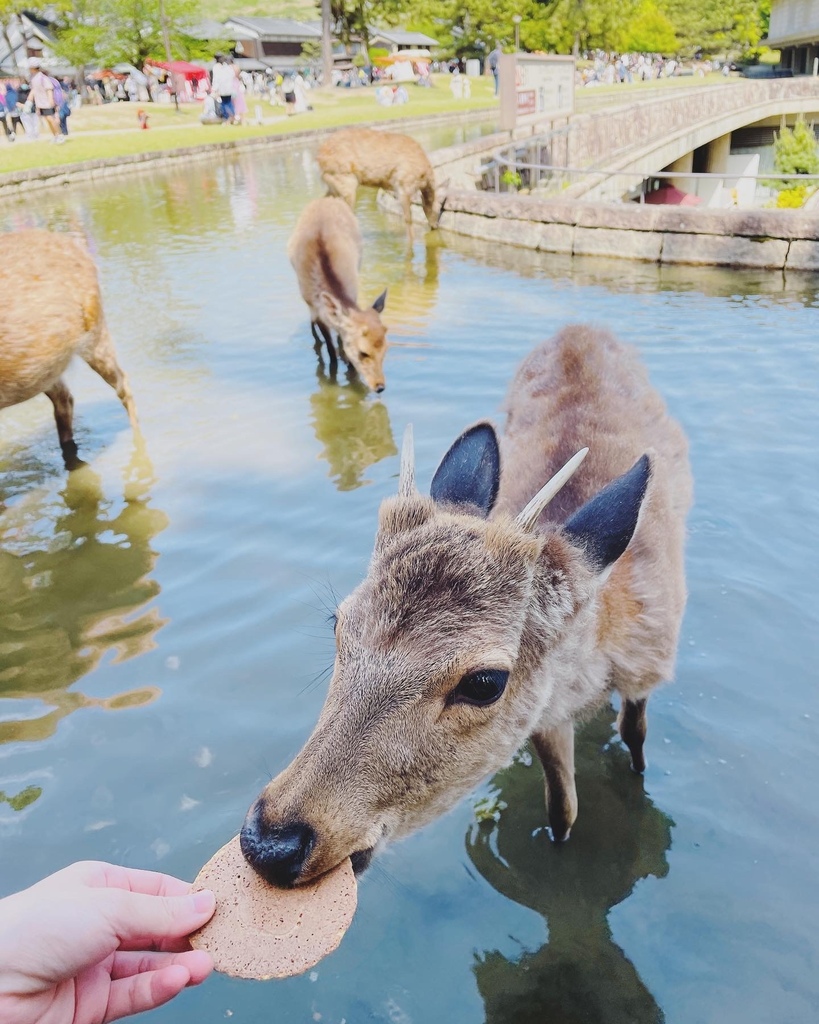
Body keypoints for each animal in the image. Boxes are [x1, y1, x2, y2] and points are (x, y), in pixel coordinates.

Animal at [239, 323, 696, 884]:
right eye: (338, 624)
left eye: (485, 682)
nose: (270, 842)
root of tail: (581, 329)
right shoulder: (545, 714)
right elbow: (562, 808)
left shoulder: (648, 665)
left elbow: (635, 737)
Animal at [288, 195, 391, 391]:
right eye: (363, 352)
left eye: (386, 349)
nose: (380, 386)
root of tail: (327, 198)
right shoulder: (317, 310)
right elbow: (330, 352)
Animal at [315, 128, 444, 243]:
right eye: (439, 209)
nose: (435, 226)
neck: (424, 177)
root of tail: (319, 156)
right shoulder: (403, 185)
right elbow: (408, 219)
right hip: (345, 180)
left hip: (334, 183)